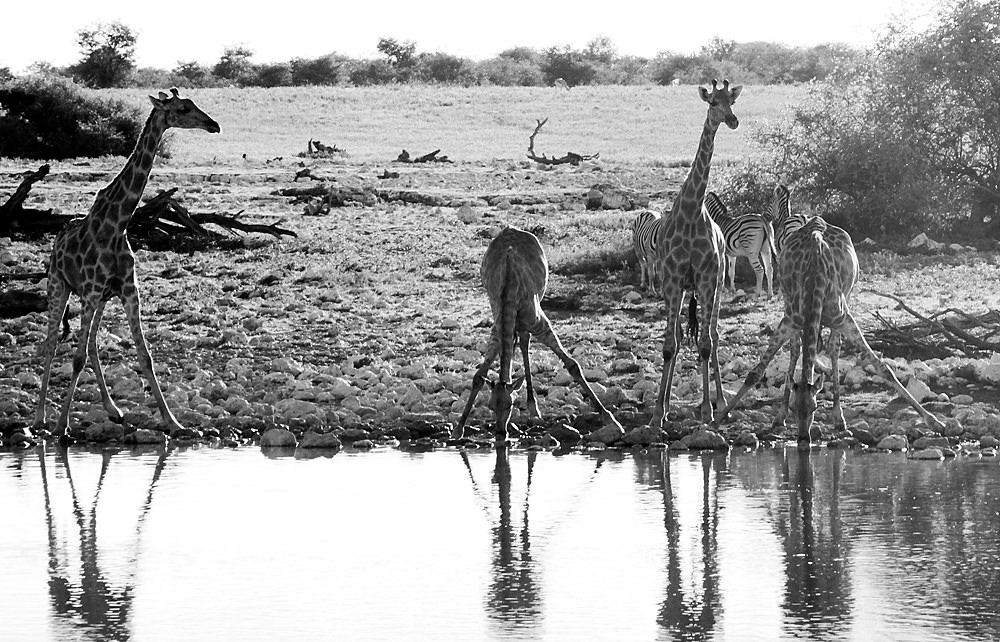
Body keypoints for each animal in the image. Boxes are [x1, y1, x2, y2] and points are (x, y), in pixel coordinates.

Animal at [34, 88, 220, 437]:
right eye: (182, 108)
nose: (213, 125)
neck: (117, 224)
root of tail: (57, 239)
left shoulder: (128, 290)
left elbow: (145, 356)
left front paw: (174, 423)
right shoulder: (92, 290)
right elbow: (76, 357)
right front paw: (62, 424)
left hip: (102, 299)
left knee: (93, 344)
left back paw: (113, 410)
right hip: (59, 287)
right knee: (51, 343)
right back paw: (40, 419)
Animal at [452, 226, 623, 443]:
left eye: (510, 405)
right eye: (490, 406)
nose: (500, 433)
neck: (508, 291)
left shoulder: (540, 323)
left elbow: (573, 365)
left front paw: (611, 420)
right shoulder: (498, 329)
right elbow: (478, 376)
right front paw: (458, 428)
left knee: (525, 341)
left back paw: (534, 407)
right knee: (520, 342)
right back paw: (531, 405)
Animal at [648, 79, 742, 428]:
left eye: (732, 101)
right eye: (712, 102)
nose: (732, 120)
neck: (690, 209)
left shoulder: (705, 279)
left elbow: (704, 344)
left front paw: (707, 409)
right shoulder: (673, 281)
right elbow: (669, 345)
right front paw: (658, 412)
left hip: (716, 284)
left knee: (712, 336)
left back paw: (721, 401)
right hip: (680, 289)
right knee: (678, 336)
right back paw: (666, 404)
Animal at [711, 216, 948, 448]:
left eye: (815, 408)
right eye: (795, 408)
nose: (803, 439)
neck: (814, 279)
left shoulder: (845, 318)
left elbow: (884, 368)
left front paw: (935, 422)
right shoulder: (790, 320)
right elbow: (755, 373)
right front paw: (717, 419)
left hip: (846, 300)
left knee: (834, 348)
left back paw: (838, 417)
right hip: (788, 301)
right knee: (796, 349)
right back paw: (780, 416)